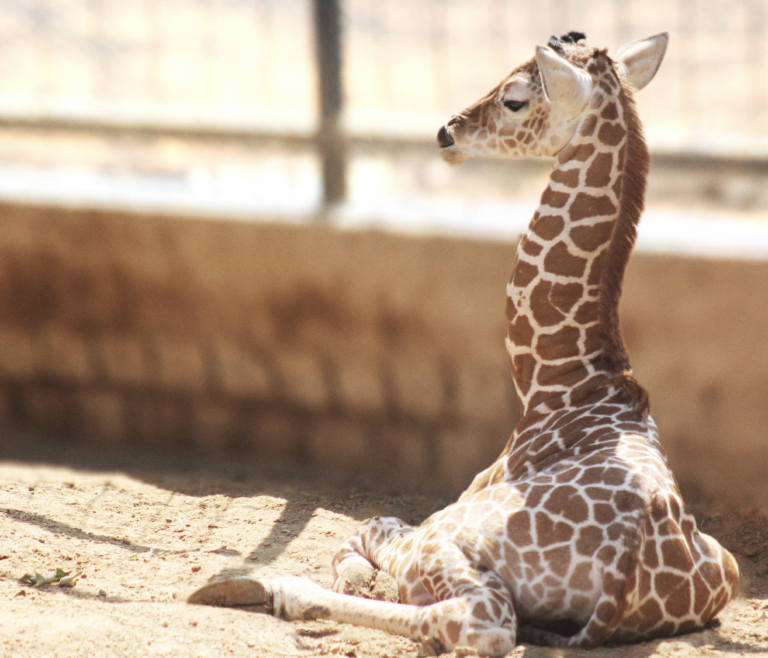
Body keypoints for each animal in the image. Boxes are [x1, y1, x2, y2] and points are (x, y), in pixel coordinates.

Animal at [188, 32, 739, 655]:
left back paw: (262, 588)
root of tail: (626, 576)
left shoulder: (439, 513)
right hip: (727, 564)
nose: (447, 132)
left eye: (516, 99)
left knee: (479, 621)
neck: (561, 381)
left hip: (445, 540)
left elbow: (363, 534)